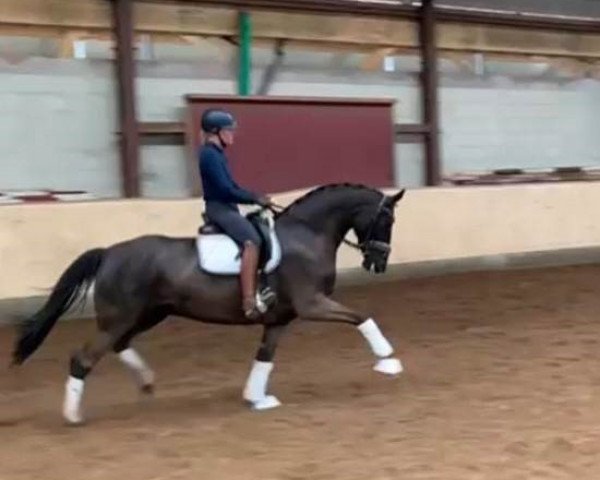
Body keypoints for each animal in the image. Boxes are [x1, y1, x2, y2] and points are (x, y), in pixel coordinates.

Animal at [11, 183, 408, 424]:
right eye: (386, 218)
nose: (379, 263)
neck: (306, 235)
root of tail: (108, 252)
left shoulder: (279, 318)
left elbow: (264, 357)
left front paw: (256, 398)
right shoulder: (312, 304)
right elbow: (361, 316)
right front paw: (388, 359)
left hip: (148, 314)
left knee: (119, 345)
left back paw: (146, 382)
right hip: (120, 317)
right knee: (83, 358)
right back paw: (73, 415)